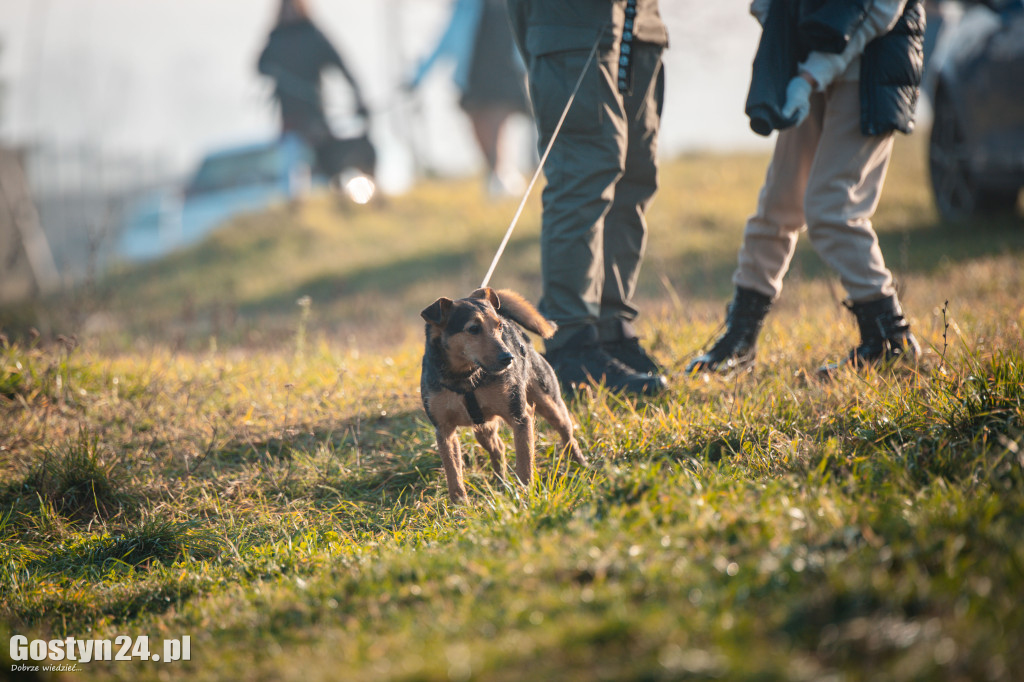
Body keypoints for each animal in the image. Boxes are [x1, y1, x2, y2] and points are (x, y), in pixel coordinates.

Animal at [419, 284, 589, 501]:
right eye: (473, 329)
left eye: (499, 327)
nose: (508, 357)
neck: (465, 377)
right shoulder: (444, 430)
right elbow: (453, 471)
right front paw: (459, 504)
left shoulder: (520, 417)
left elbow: (525, 461)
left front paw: (526, 494)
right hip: (483, 428)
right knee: (497, 448)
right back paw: (500, 484)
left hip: (550, 403)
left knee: (567, 434)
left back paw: (580, 464)